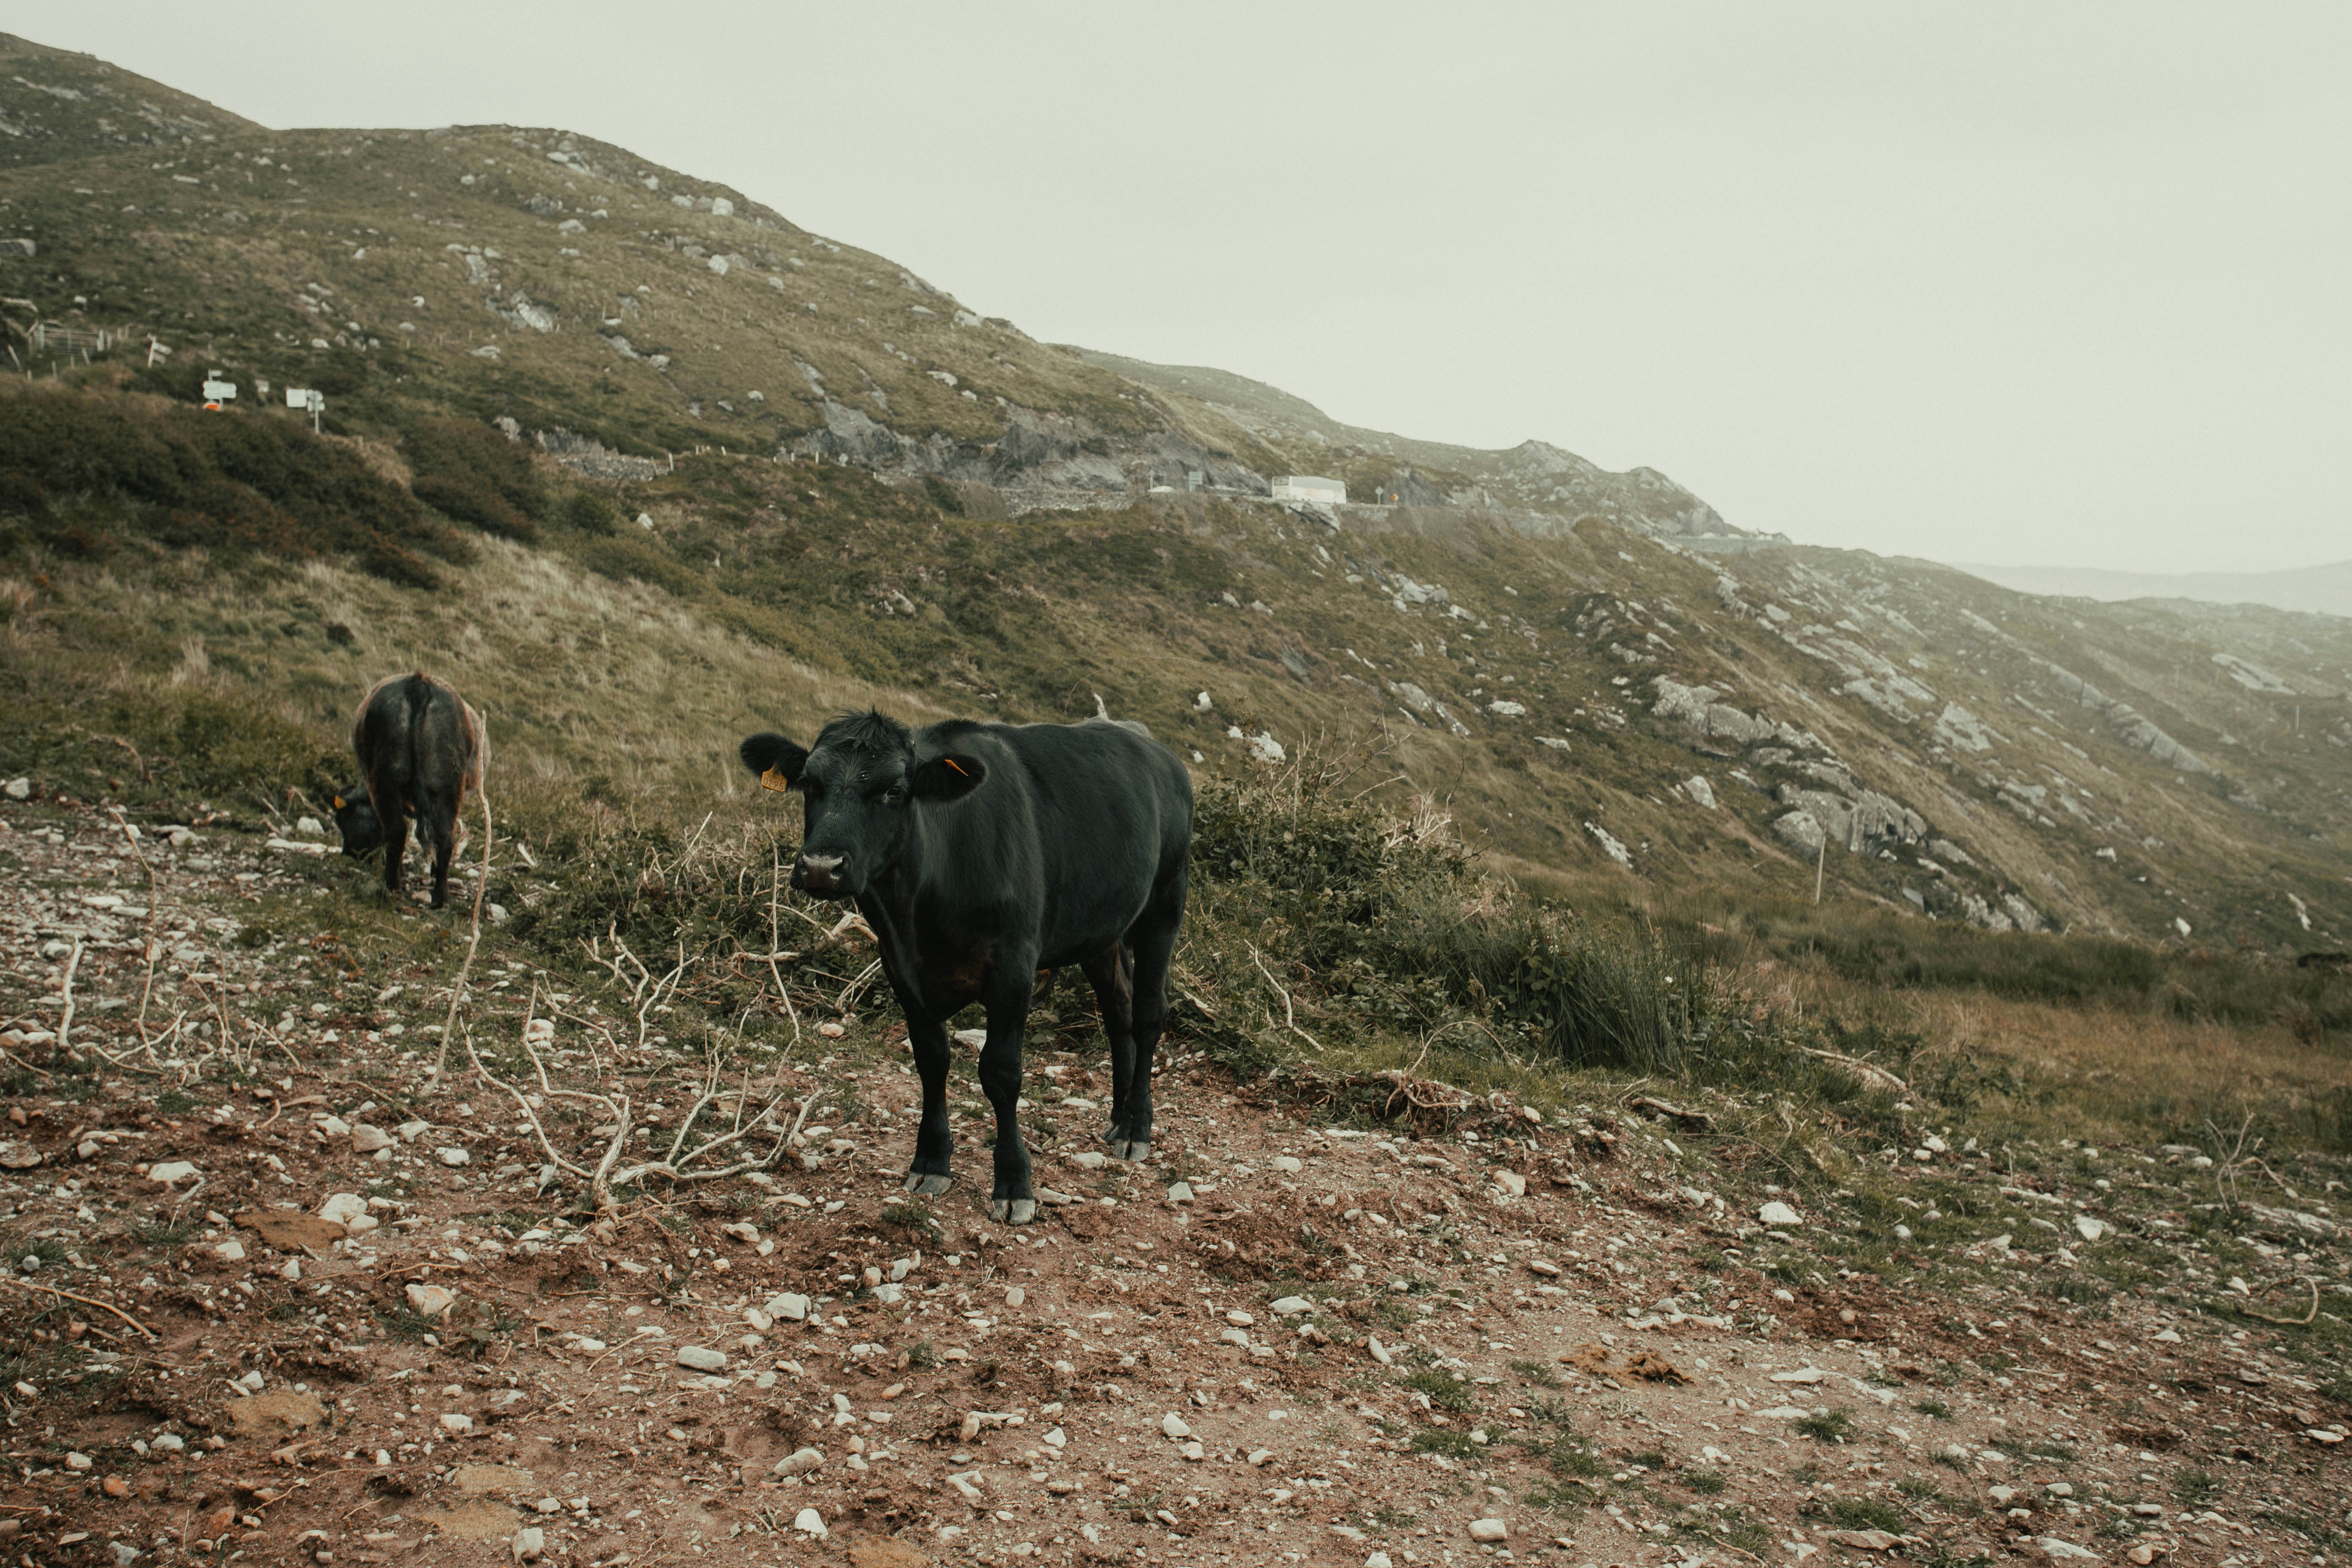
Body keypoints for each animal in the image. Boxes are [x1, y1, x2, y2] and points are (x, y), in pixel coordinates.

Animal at [336, 672, 487, 907]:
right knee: (444, 837)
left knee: (397, 832)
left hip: (385, 784)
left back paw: (391, 887)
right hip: (449, 789)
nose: (348, 854)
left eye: (342, 822)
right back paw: (440, 897)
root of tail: (419, 684)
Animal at [738, 710, 1194, 1222]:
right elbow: (931, 1062)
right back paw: (1119, 1119)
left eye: (894, 790)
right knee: (1119, 1010)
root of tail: (1148, 743)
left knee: (1149, 1013)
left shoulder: (1013, 969)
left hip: (1166, 902)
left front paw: (1014, 1183)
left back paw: (1138, 1128)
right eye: (810, 784)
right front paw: (931, 1161)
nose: (821, 866)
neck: (920, 916)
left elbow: (1001, 1073)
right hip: (1101, 929)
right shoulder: (901, 970)